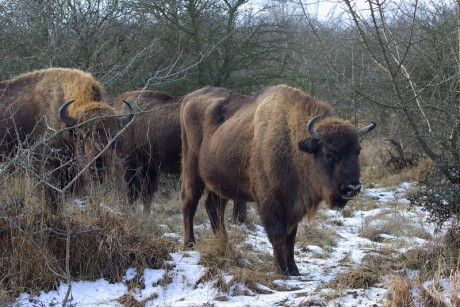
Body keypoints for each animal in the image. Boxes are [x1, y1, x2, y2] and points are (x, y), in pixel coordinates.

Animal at [178, 85, 376, 276]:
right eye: (329, 153)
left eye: (357, 151)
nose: (352, 187)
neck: (293, 144)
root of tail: (188, 99)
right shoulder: (271, 202)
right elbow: (278, 235)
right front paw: (281, 269)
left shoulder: (293, 206)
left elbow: (291, 237)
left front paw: (294, 270)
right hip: (191, 170)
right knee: (190, 203)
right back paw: (190, 244)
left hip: (220, 184)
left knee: (213, 207)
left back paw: (225, 245)